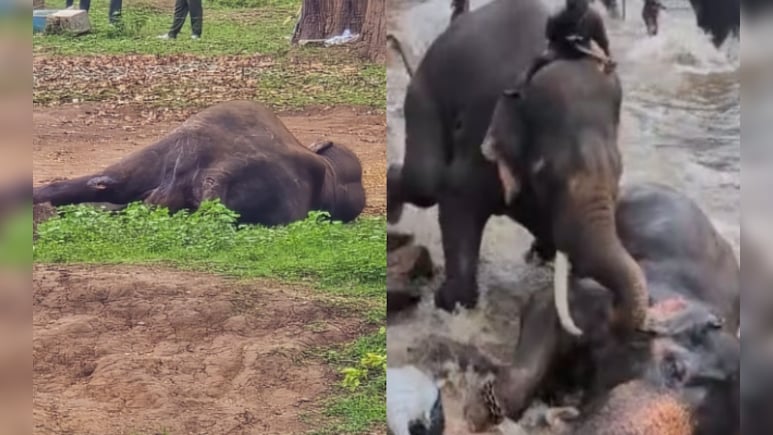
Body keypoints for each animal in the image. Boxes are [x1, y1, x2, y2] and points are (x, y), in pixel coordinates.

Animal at [387, 0, 649, 335]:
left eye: (619, 171)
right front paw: (450, 303)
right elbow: (457, 197)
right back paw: (392, 210)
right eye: (544, 172)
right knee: (425, 182)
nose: (612, 310)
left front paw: (542, 259)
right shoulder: (479, 137)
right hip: (424, 91)